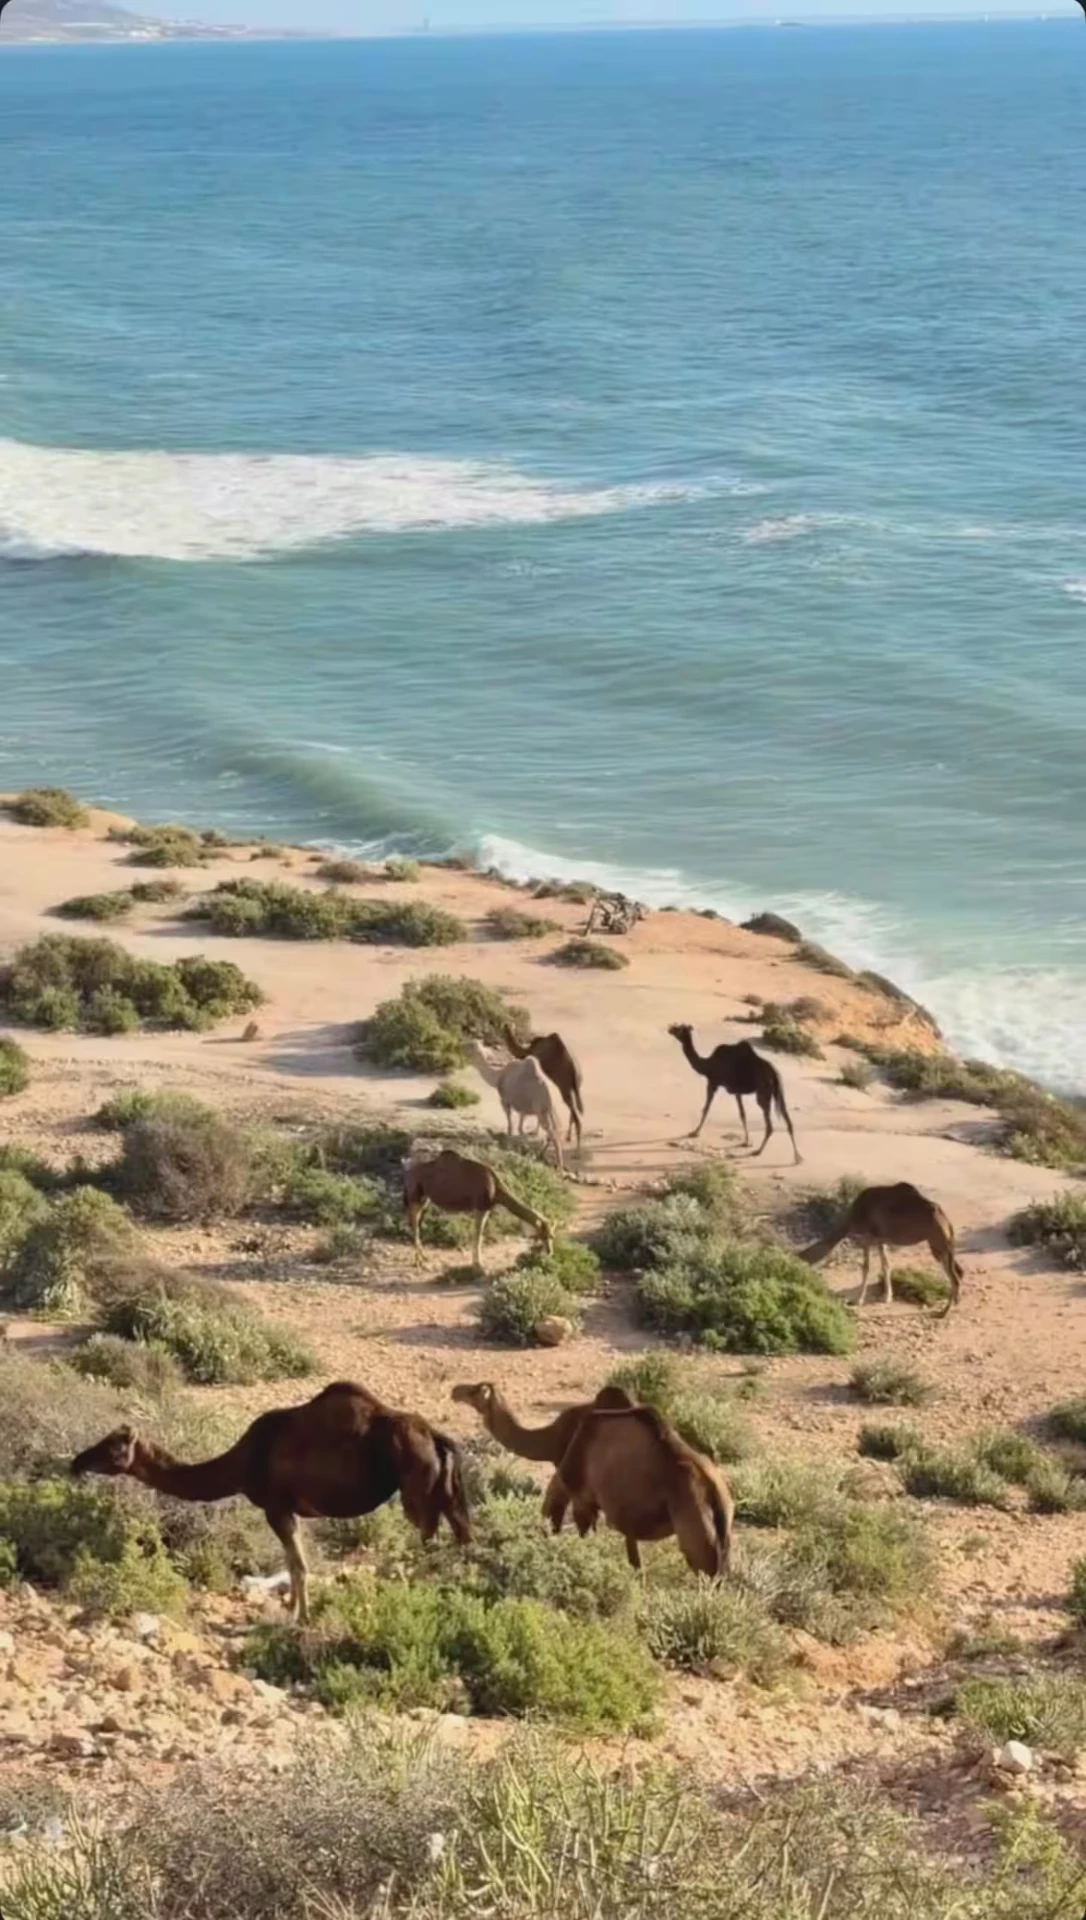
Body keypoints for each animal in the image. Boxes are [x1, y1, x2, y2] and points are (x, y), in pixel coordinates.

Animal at [70, 1381, 471, 1624]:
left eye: (113, 1448)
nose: (76, 1462)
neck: (241, 1462)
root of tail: (438, 1439)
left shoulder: (275, 1507)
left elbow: (299, 1566)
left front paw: (299, 1619)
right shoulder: (292, 1510)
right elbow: (296, 1563)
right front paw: (294, 1611)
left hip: (416, 1495)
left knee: (428, 1539)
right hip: (443, 1496)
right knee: (459, 1536)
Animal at [403, 1148, 553, 1272]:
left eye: (552, 1236)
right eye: (544, 1235)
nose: (549, 1251)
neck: (495, 1188)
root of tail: (408, 1174)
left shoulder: (486, 1208)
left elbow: (478, 1234)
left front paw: (477, 1264)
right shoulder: (480, 1206)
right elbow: (478, 1235)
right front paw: (478, 1266)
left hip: (425, 1198)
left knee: (417, 1222)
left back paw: (424, 1257)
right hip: (414, 1196)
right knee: (414, 1223)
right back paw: (419, 1262)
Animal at [544, 1404, 733, 1576]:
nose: (549, 1533)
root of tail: (713, 1486)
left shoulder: (584, 1501)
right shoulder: (627, 1522)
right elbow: (633, 1557)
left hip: (696, 1533)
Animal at [668, 1023, 800, 1164]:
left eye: (679, 1028)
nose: (670, 1028)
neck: (707, 1064)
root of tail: (774, 1074)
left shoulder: (713, 1082)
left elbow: (706, 1108)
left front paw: (695, 1132)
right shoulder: (736, 1091)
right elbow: (742, 1114)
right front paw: (747, 1141)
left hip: (763, 1092)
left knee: (770, 1124)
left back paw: (758, 1151)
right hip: (778, 1091)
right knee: (788, 1119)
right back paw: (797, 1157)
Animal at [800, 1181, 962, 1315]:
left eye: (802, 1256)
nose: (802, 1272)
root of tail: (946, 1220)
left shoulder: (866, 1238)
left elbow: (866, 1267)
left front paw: (858, 1300)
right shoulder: (880, 1240)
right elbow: (886, 1265)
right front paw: (887, 1297)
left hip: (938, 1242)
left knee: (954, 1277)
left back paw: (943, 1312)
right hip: (941, 1245)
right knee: (958, 1272)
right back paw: (955, 1302)